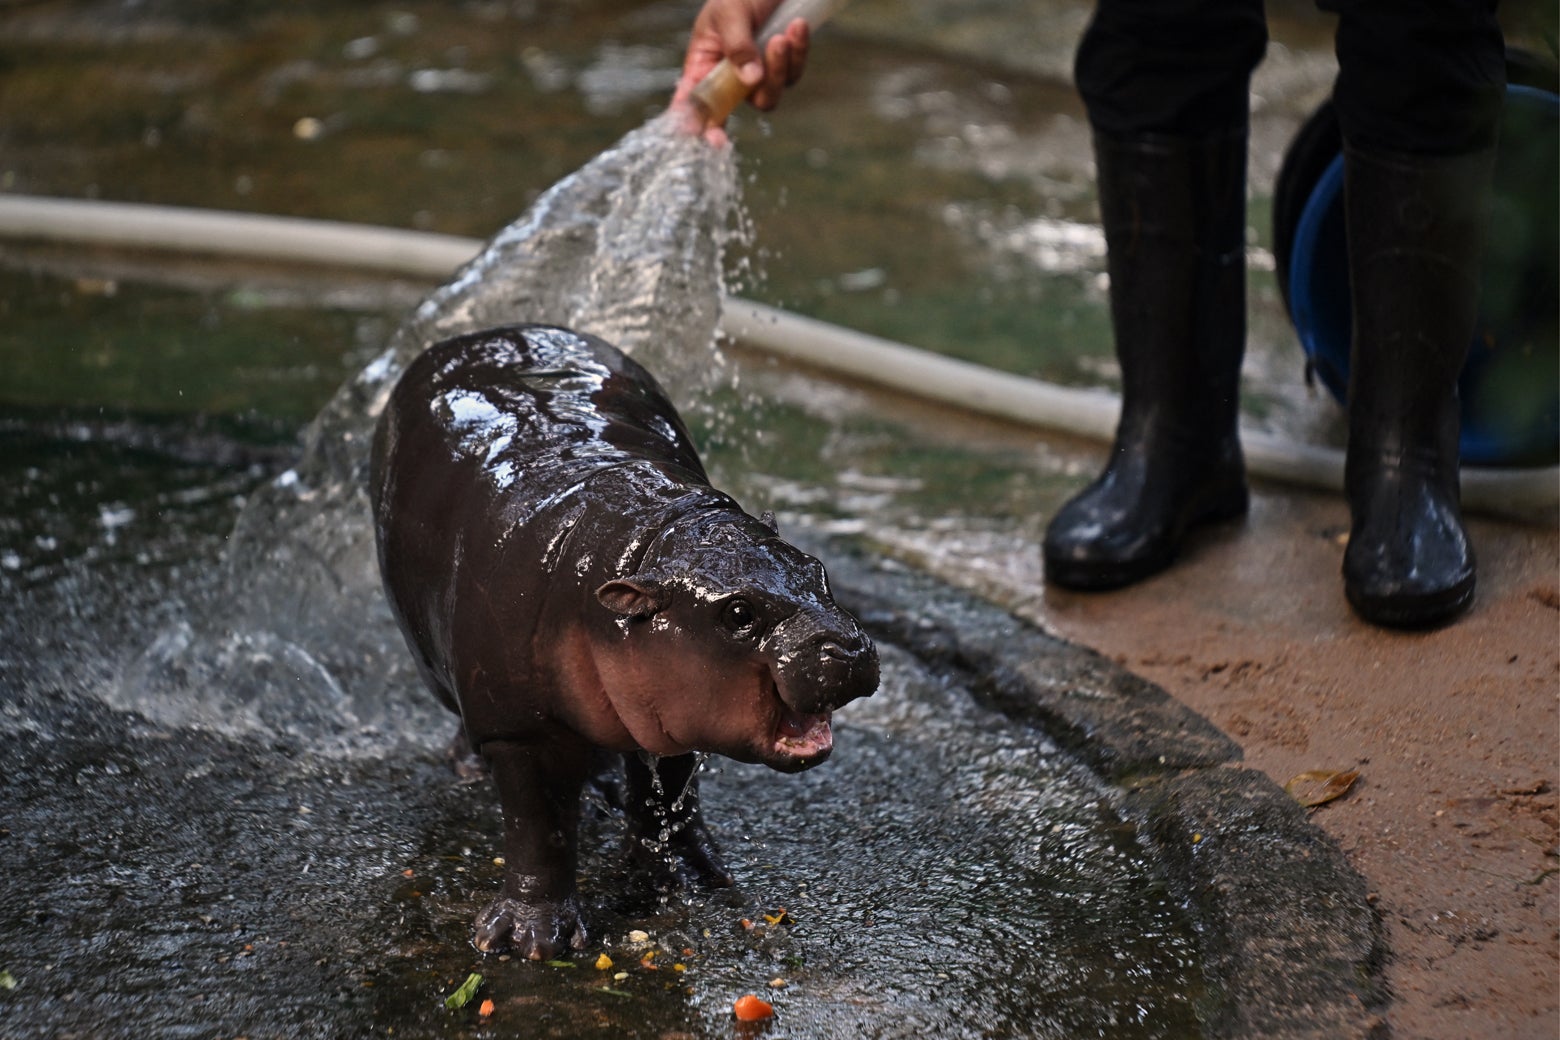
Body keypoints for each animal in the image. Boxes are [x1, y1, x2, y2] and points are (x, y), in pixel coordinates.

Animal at [368, 325, 879, 960]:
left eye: (817, 570)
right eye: (738, 613)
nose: (849, 648)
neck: (644, 542)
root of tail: (483, 334)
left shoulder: (675, 708)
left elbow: (672, 793)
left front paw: (691, 877)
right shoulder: (520, 728)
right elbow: (539, 827)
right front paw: (530, 941)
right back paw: (470, 768)